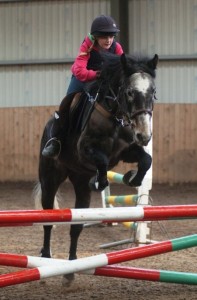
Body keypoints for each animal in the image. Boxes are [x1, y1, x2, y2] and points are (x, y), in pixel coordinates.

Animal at [34, 52, 159, 284]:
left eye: (153, 92)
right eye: (130, 92)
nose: (144, 136)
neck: (115, 115)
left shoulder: (125, 151)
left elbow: (145, 160)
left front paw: (131, 178)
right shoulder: (86, 150)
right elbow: (101, 161)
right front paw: (100, 181)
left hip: (80, 185)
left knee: (76, 227)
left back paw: (71, 269)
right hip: (50, 179)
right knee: (47, 218)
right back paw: (45, 257)